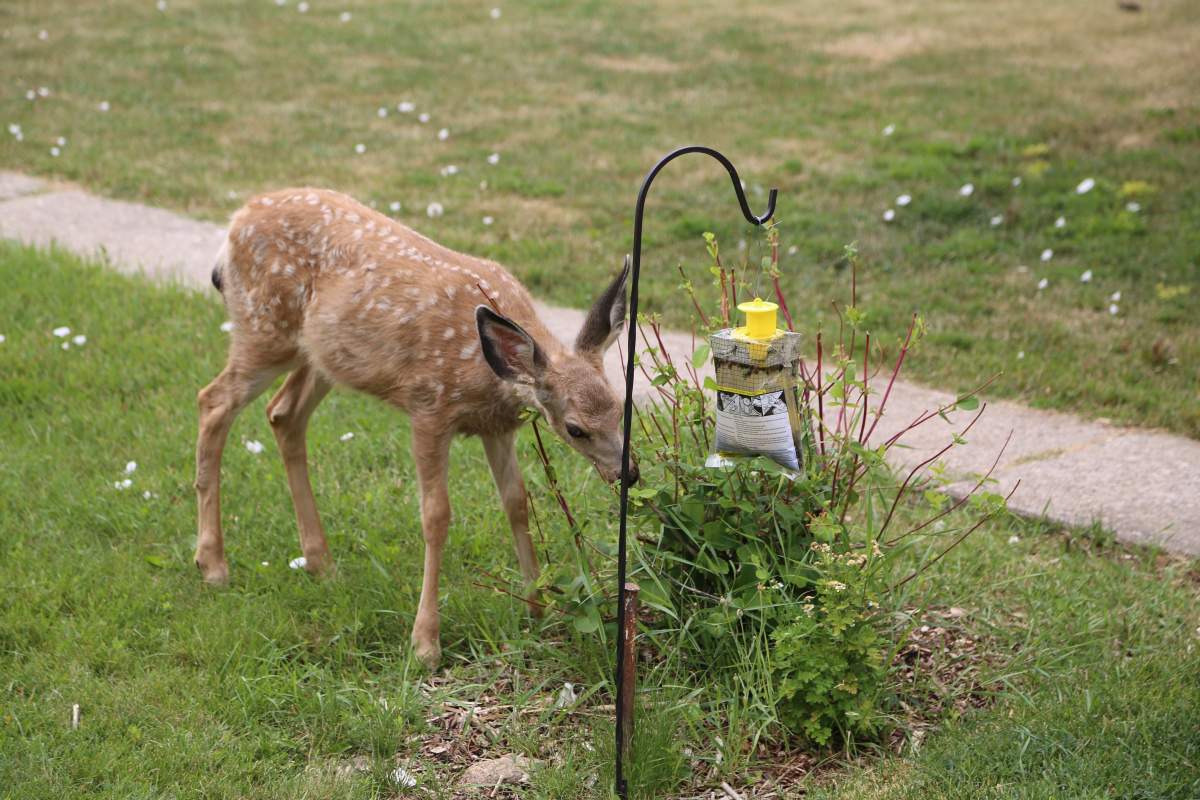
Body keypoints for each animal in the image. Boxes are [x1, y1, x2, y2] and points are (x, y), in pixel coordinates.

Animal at [194, 187, 637, 668]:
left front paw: (538, 608)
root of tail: (236, 223)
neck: (486, 371)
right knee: (212, 402)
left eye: (620, 408)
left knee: (283, 413)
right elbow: (436, 515)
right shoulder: (428, 407)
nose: (627, 473)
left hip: (321, 355)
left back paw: (320, 562)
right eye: (575, 429)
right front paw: (425, 643)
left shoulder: (497, 427)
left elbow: (517, 502)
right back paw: (212, 564)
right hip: (265, 329)